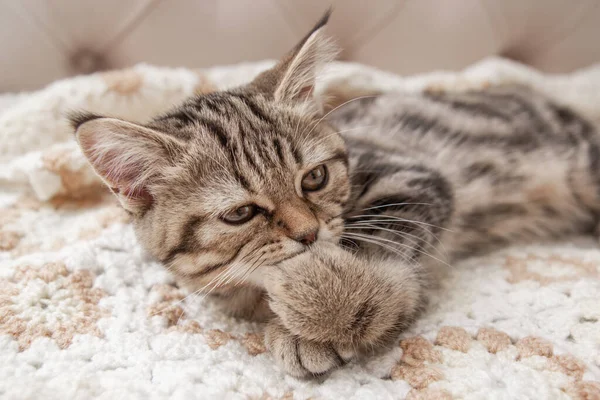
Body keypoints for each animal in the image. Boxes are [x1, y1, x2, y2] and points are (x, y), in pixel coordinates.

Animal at [70, 10, 600, 376]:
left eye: (314, 178)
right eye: (241, 213)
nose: (308, 235)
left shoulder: (414, 175)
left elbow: (378, 240)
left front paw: (327, 312)